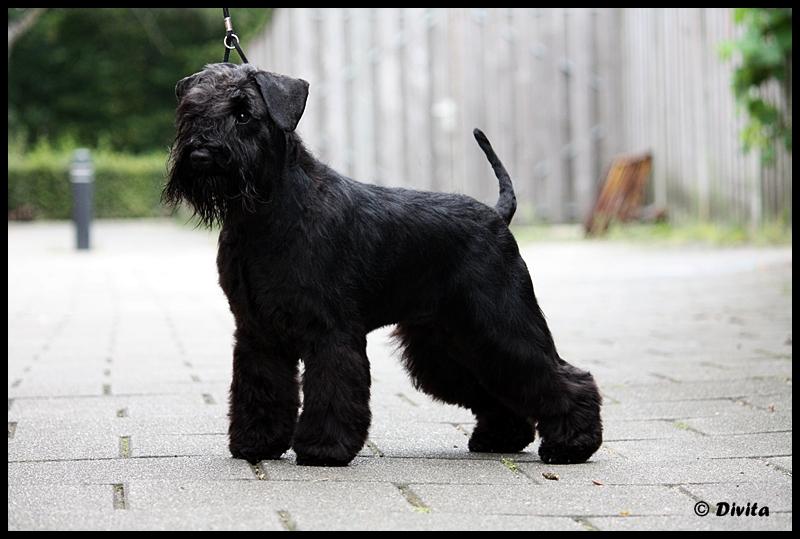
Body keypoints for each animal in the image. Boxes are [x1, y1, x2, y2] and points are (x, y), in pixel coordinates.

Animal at [164, 63, 602, 466]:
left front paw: (324, 449)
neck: (263, 213)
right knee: (497, 385)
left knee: (559, 376)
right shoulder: (257, 331)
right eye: (191, 110)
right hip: (447, 342)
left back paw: (572, 446)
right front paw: (257, 443)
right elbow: (261, 388)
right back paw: (501, 439)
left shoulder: (330, 329)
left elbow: (332, 388)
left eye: (244, 113)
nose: (201, 152)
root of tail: (497, 215)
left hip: (500, 323)